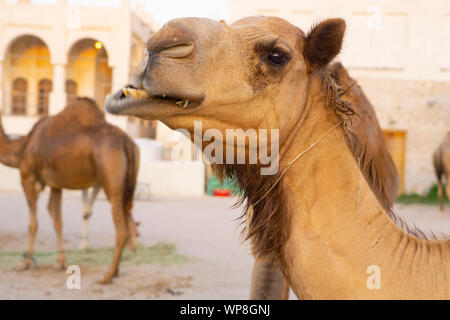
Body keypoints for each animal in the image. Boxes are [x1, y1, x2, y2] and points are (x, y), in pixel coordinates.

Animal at [0, 97, 140, 282]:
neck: (22, 148)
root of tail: (127, 143)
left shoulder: (27, 176)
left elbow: (33, 224)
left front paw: (25, 264)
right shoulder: (55, 184)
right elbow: (58, 221)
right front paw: (60, 263)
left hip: (112, 184)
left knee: (121, 228)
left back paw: (107, 276)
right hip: (126, 186)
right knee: (128, 218)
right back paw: (116, 271)